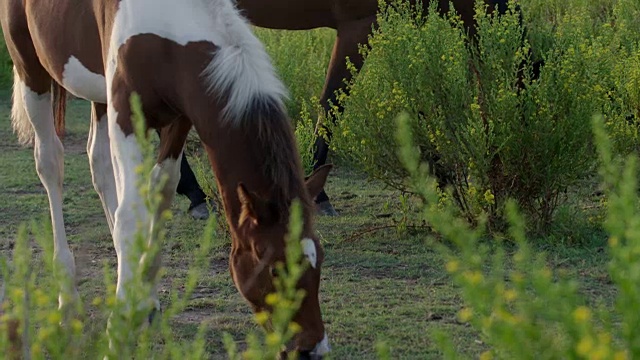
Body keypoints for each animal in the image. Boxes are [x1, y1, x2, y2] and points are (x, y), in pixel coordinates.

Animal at [2, 0, 336, 356]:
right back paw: (67, 297)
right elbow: (130, 214)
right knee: (50, 163)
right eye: (275, 267)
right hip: (31, 71)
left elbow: (162, 188)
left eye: (318, 259)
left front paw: (143, 298)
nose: (312, 349)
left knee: (99, 163)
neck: (169, 27)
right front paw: (118, 331)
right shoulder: (126, 116)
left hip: (98, 94)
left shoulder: (180, 116)